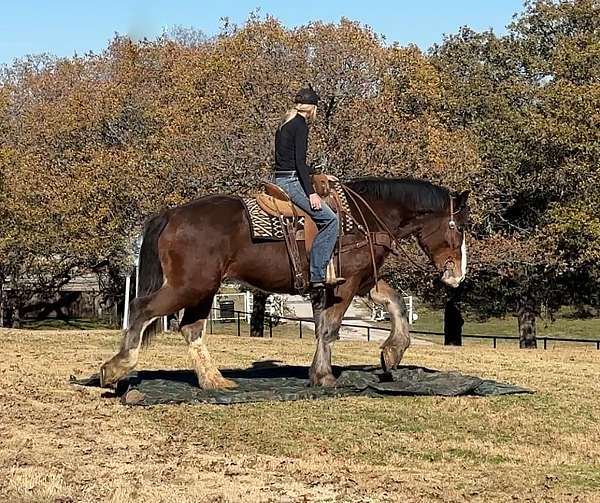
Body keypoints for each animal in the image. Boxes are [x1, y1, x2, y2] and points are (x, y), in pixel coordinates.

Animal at [101, 177, 472, 390]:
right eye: (458, 227)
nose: (457, 274)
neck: (365, 217)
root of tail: (172, 214)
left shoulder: (363, 281)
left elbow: (393, 304)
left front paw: (392, 352)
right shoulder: (347, 284)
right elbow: (329, 329)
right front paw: (323, 376)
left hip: (201, 290)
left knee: (191, 329)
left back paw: (213, 380)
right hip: (190, 287)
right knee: (141, 309)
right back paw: (118, 367)